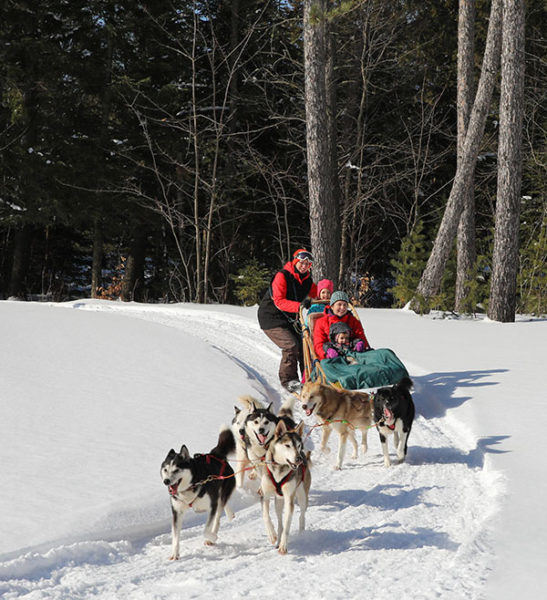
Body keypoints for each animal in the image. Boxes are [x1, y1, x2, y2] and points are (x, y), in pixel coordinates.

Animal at [159, 426, 234, 556]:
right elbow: (175, 536)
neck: (191, 486)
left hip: (220, 497)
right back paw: (230, 513)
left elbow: (206, 530)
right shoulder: (177, 512)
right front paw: (174, 554)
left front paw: (212, 537)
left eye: (176, 470)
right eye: (165, 469)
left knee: (219, 515)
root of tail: (215, 455)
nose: (166, 481)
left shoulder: (212, 506)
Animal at [262, 418, 312, 552]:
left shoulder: (289, 498)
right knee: (280, 522)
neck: (279, 468)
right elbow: (266, 516)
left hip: (302, 496)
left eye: (298, 445)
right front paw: (271, 534)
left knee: (301, 515)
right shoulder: (265, 495)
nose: (299, 459)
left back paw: (301, 533)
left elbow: (287, 526)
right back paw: (278, 538)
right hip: (278, 502)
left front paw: (284, 545)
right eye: (288, 445)